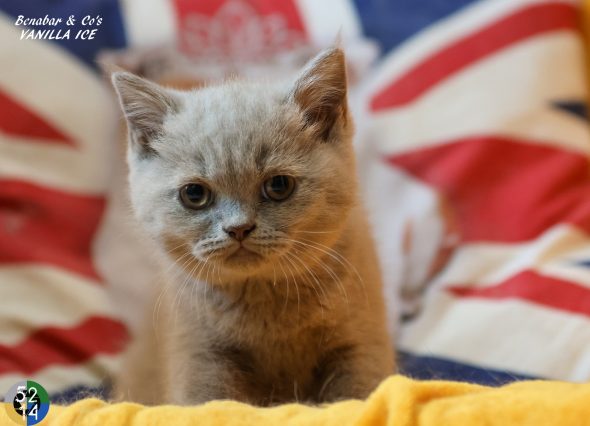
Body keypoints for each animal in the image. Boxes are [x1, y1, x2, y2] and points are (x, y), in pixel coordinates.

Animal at [111, 48, 398, 404]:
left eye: (279, 186)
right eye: (194, 194)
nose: (238, 228)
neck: (265, 299)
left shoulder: (361, 341)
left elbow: (359, 395)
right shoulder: (199, 354)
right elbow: (207, 402)